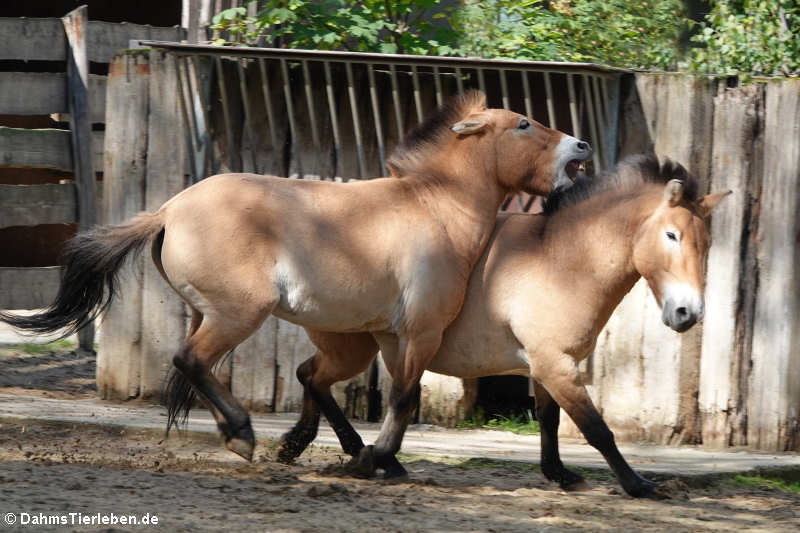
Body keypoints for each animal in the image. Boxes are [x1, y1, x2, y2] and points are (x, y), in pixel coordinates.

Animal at [0, 90, 588, 462]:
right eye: (523, 124)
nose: (580, 146)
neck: (435, 209)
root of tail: (167, 211)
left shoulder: (387, 335)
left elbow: (380, 393)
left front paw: (370, 457)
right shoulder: (419, 330)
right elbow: (405, 397)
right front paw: (381, 461)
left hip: (220, 315)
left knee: (219, 370)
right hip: (239, 313)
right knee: (191, 360)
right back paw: (243, 435)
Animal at [278, 153, 728, 494]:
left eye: (706, 243)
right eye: (671, 236)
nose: (688, 313)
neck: (561, 260)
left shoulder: (548, 366)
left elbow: (549, 421)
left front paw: (560, 474)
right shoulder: (555, 365)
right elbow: (596, 428)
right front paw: (638, 484)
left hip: (353, 348)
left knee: (310, 375)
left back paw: (314, 446)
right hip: (352, 349)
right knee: (316, 378)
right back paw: (357, 452)